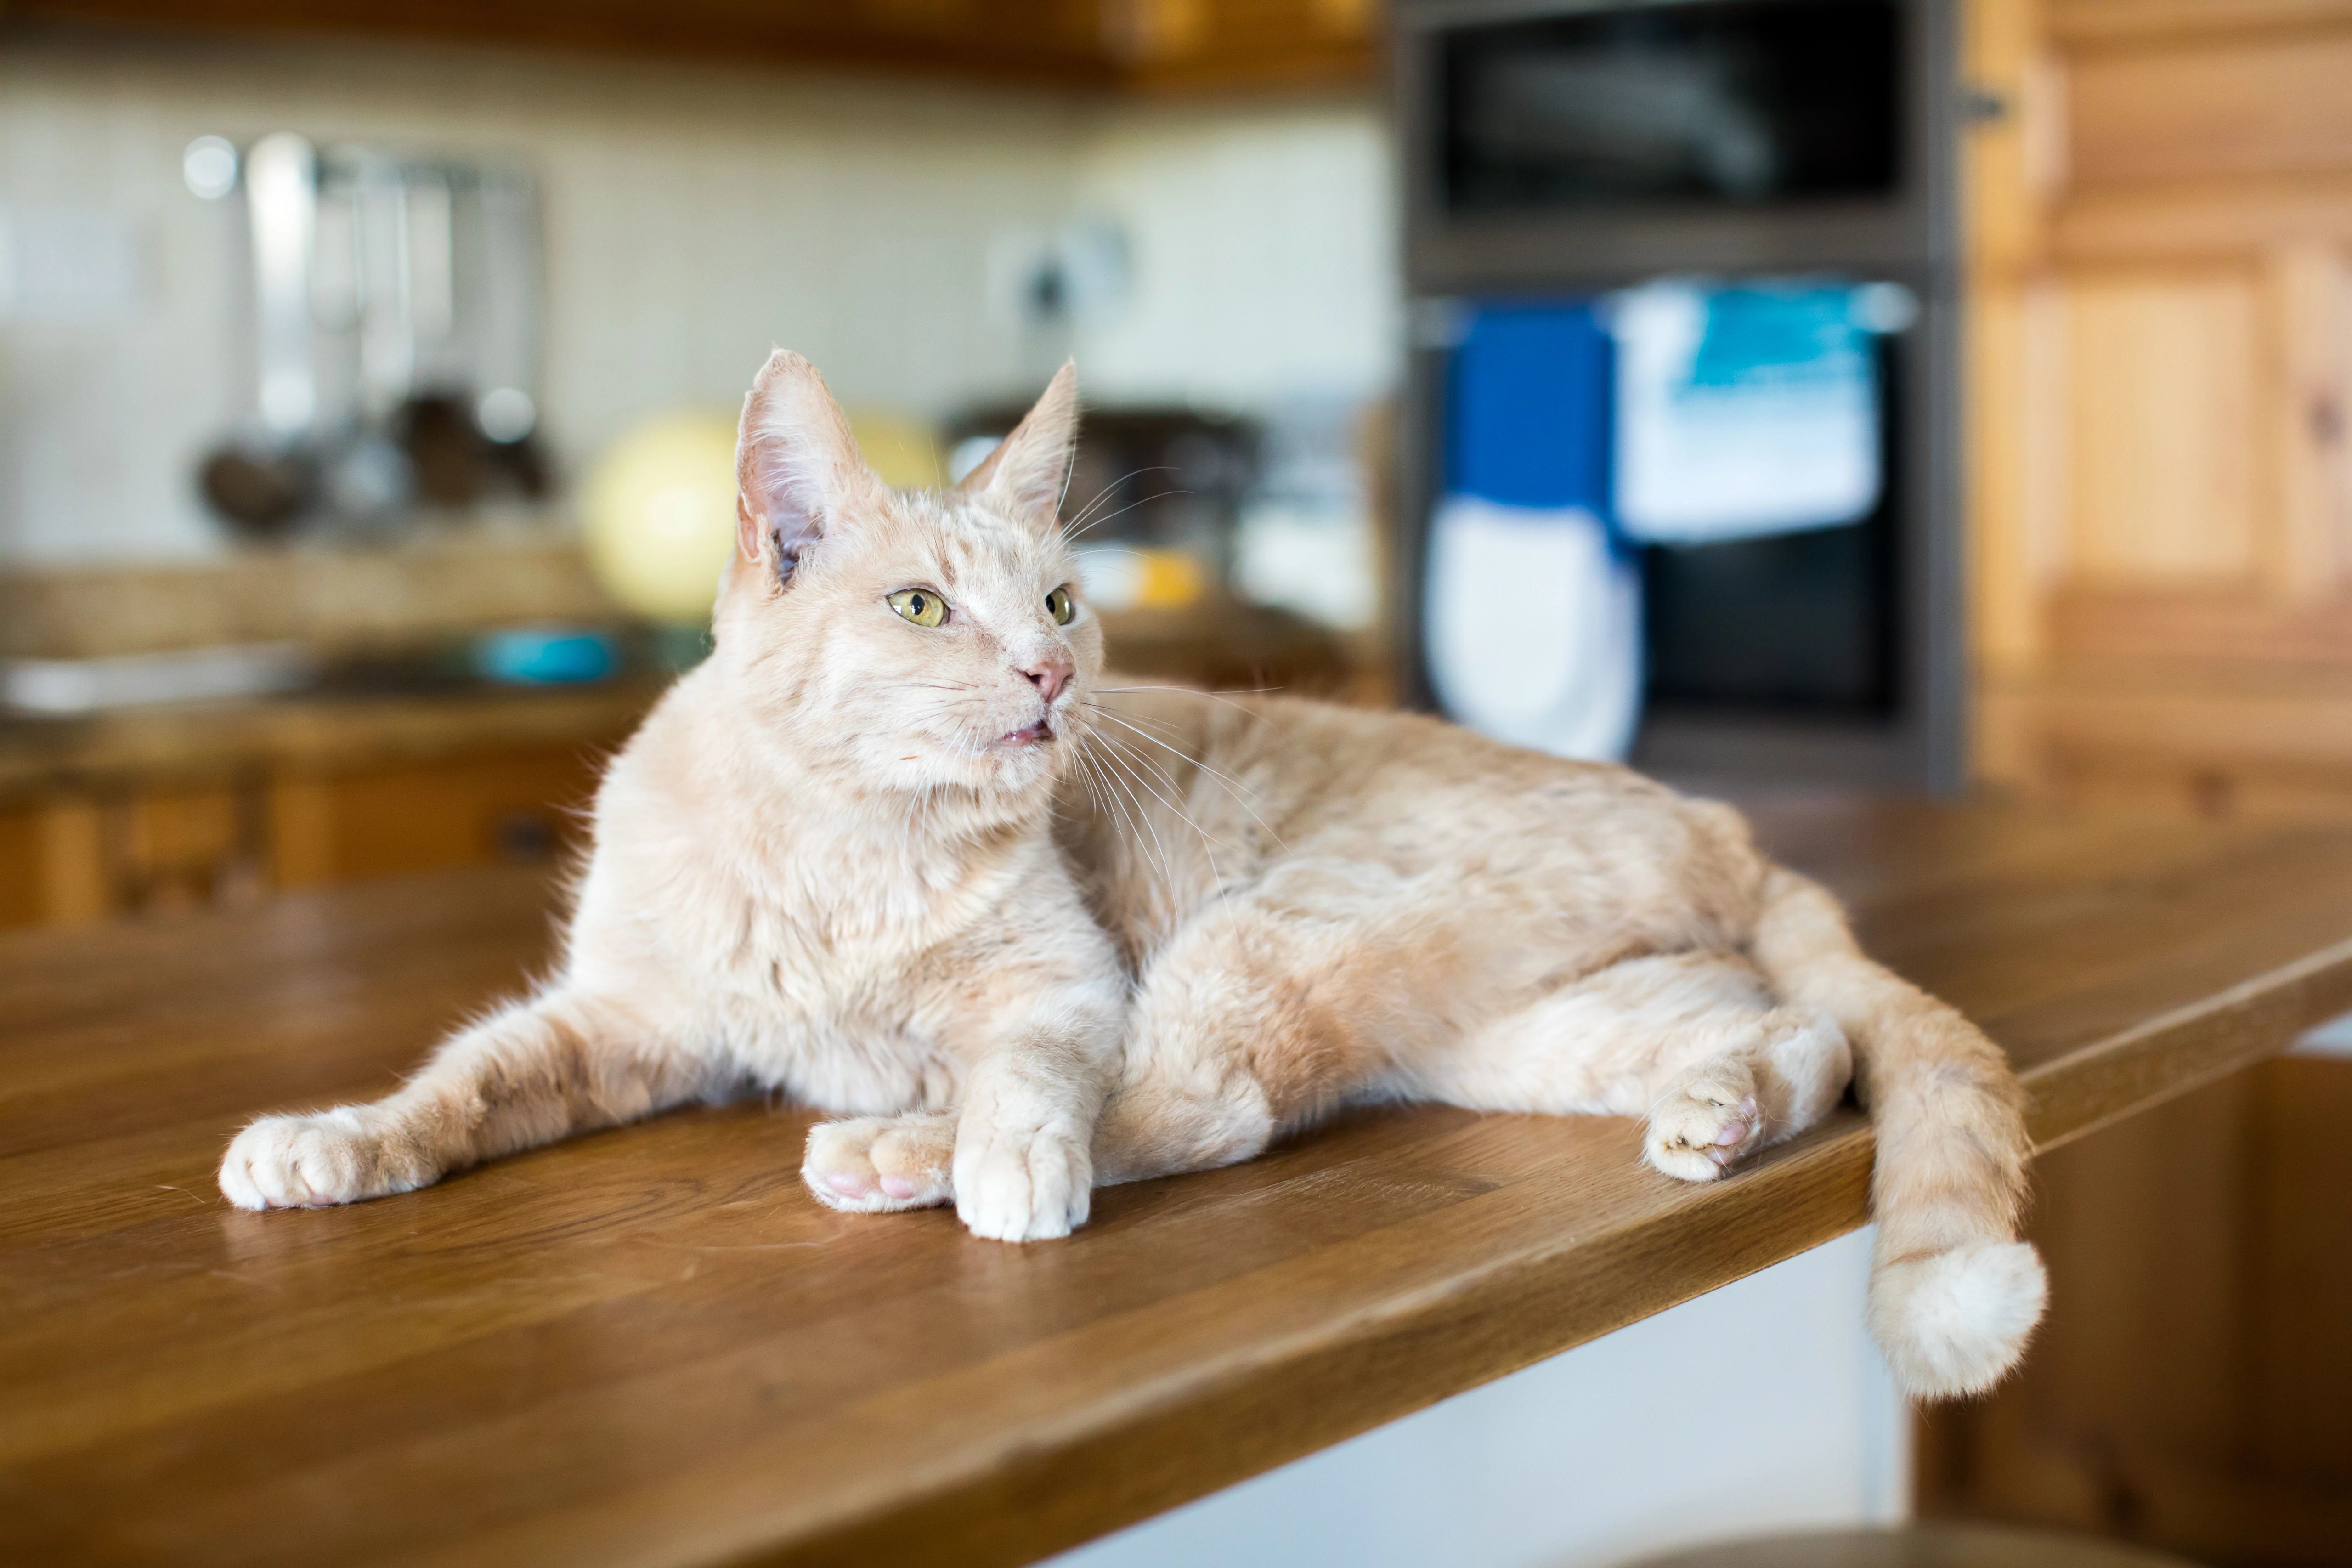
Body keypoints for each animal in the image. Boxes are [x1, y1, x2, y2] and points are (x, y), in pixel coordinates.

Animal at [224, 352, 2060, 1401]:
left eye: (1055, 603)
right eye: (919, 607)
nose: (1049, 677)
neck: (842, 844)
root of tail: (1720, 819)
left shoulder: (1061, 984)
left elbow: (1041, 1076)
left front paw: (997, 1155)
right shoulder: (624, 1018)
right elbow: (460, 1083)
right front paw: (333, 1140)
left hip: (1270, 939)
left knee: (1204, 1109)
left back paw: (902, 1152)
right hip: (1511, 1031)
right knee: (1791, 1037)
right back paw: (1721, 1116)